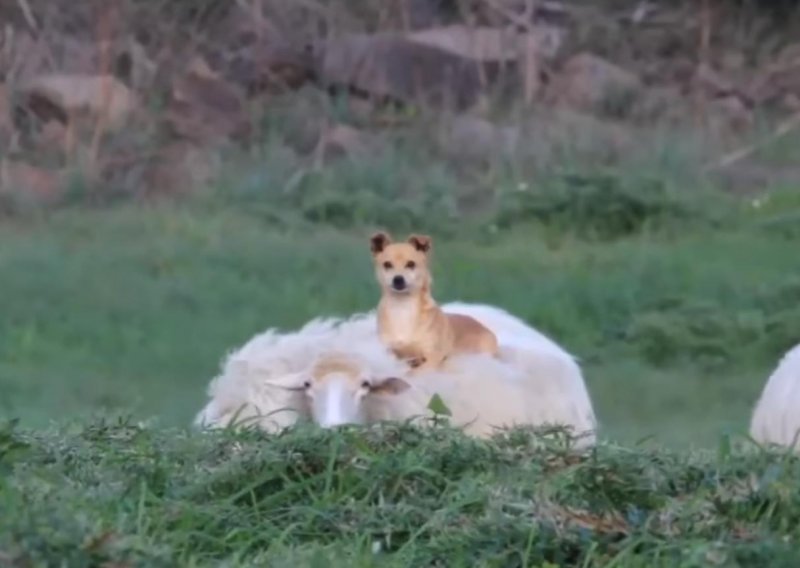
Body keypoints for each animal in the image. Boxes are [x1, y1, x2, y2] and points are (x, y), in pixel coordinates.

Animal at [370, 232, 500, 372]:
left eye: (411, 264)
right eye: (387, 265)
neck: (402, 306)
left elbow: (413, 373)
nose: (398, 279)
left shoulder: (432, 358)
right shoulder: (389, 352)